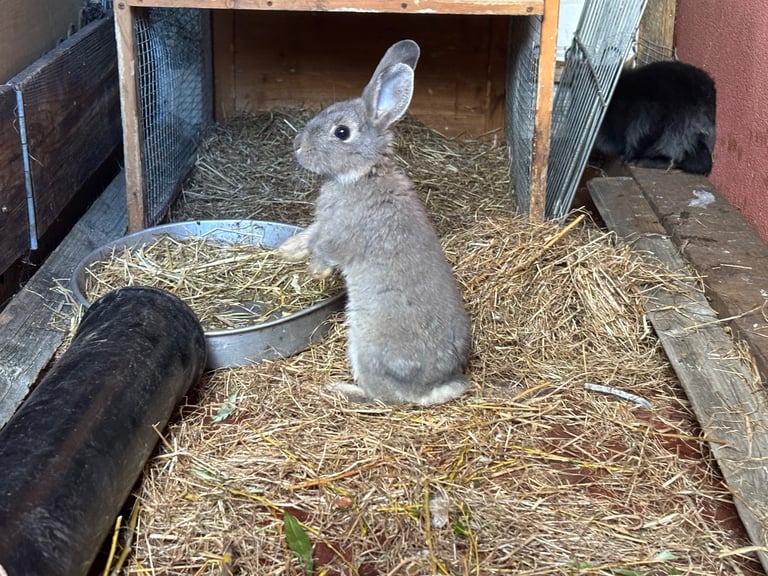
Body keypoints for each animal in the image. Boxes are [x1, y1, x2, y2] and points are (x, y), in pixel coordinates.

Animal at [278, 39, 471, 406]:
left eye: (342, 132)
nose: (296, 146)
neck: (364, 173)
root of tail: (434, 387)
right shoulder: (322, 226)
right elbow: (309, 237)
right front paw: (286, 252)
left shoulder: (338, 234)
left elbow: (324, 249)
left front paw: (316, 273)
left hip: (365, 344)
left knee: (383, 397)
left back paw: (341, 389)